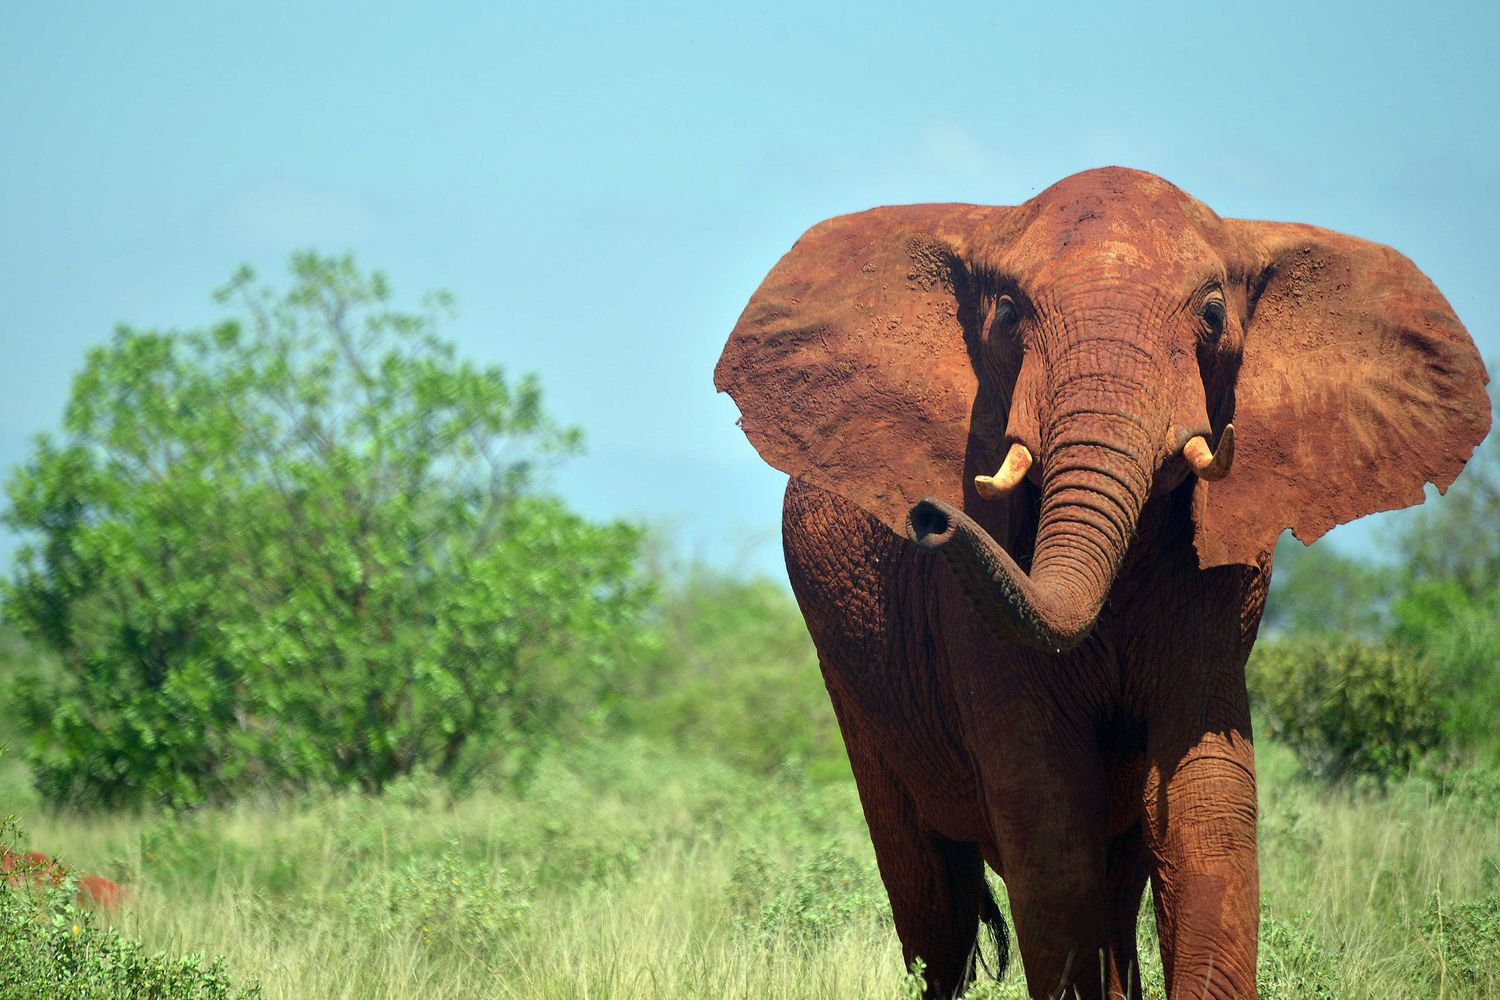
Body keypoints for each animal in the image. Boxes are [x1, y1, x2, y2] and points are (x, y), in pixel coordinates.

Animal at [714, 167, 1490, 999]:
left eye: (1214, 314)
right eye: (1008, 314)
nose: (931, 516)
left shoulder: (1222, 579)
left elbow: (1205, 809)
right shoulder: (967, 610)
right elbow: (1049, 823)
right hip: (857, 686)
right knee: (935, 909)